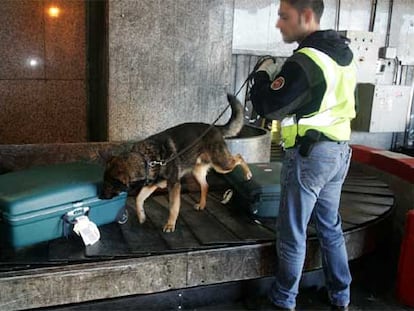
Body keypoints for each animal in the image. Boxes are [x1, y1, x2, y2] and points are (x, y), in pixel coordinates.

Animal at [102, 94, 254, 233]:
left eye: (110, 184)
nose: (101, 197)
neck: (145, 159)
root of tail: (214, 127)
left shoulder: (174, 185)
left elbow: (173, 208)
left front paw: (170, 225)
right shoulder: (152, 185)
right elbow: (138, 199)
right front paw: (141, 216)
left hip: (221, 164)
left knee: (239, 157)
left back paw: (248, 174)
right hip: (198, 171)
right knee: (205, 185)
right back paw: (202, 204)